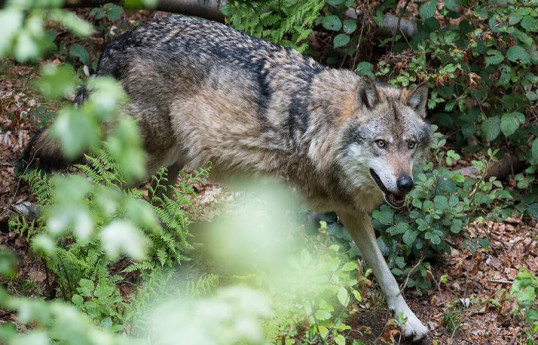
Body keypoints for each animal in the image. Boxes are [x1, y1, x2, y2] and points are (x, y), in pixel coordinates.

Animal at [23, 14, 432, 342]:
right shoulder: (283, 205)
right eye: (381, 143)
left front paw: (409, 321)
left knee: (154, 203)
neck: (318, 133)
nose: (406, 184)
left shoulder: (350, 211)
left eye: (410, 145)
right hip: (143, 160)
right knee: (91, 189)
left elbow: (387, 276)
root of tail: (118, 41)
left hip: (175, 161)